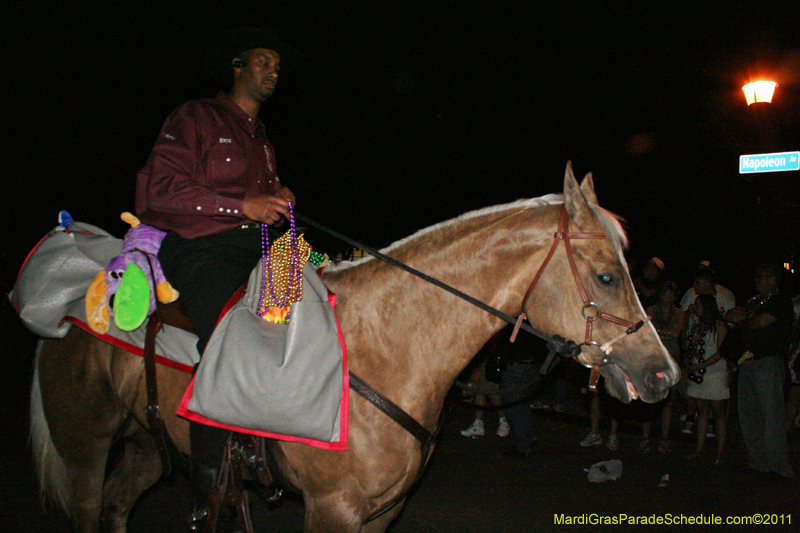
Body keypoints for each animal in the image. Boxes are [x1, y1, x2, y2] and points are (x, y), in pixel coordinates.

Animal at [31, 164, 680, 528]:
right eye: (607, 276)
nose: (664, 376)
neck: (384, 347)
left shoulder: (381, 512)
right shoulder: (333, 510)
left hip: (147, 444)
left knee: (118, 506)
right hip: (86, 450)